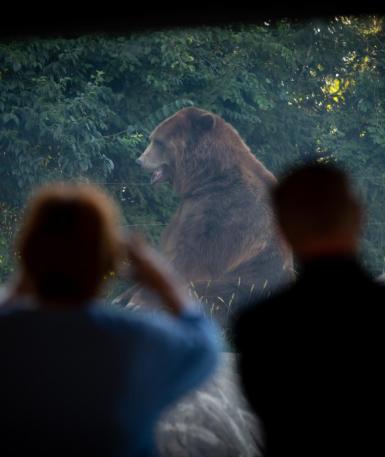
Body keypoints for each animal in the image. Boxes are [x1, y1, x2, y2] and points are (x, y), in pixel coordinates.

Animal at [116, 107, 292, 332]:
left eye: (159, 142)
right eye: (152, 139)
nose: (139, 161)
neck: (206, 177)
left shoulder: (225, 213)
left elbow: (192, 256)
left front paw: (137, 302)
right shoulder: (190, 207)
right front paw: (124, 297)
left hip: (252, 282)